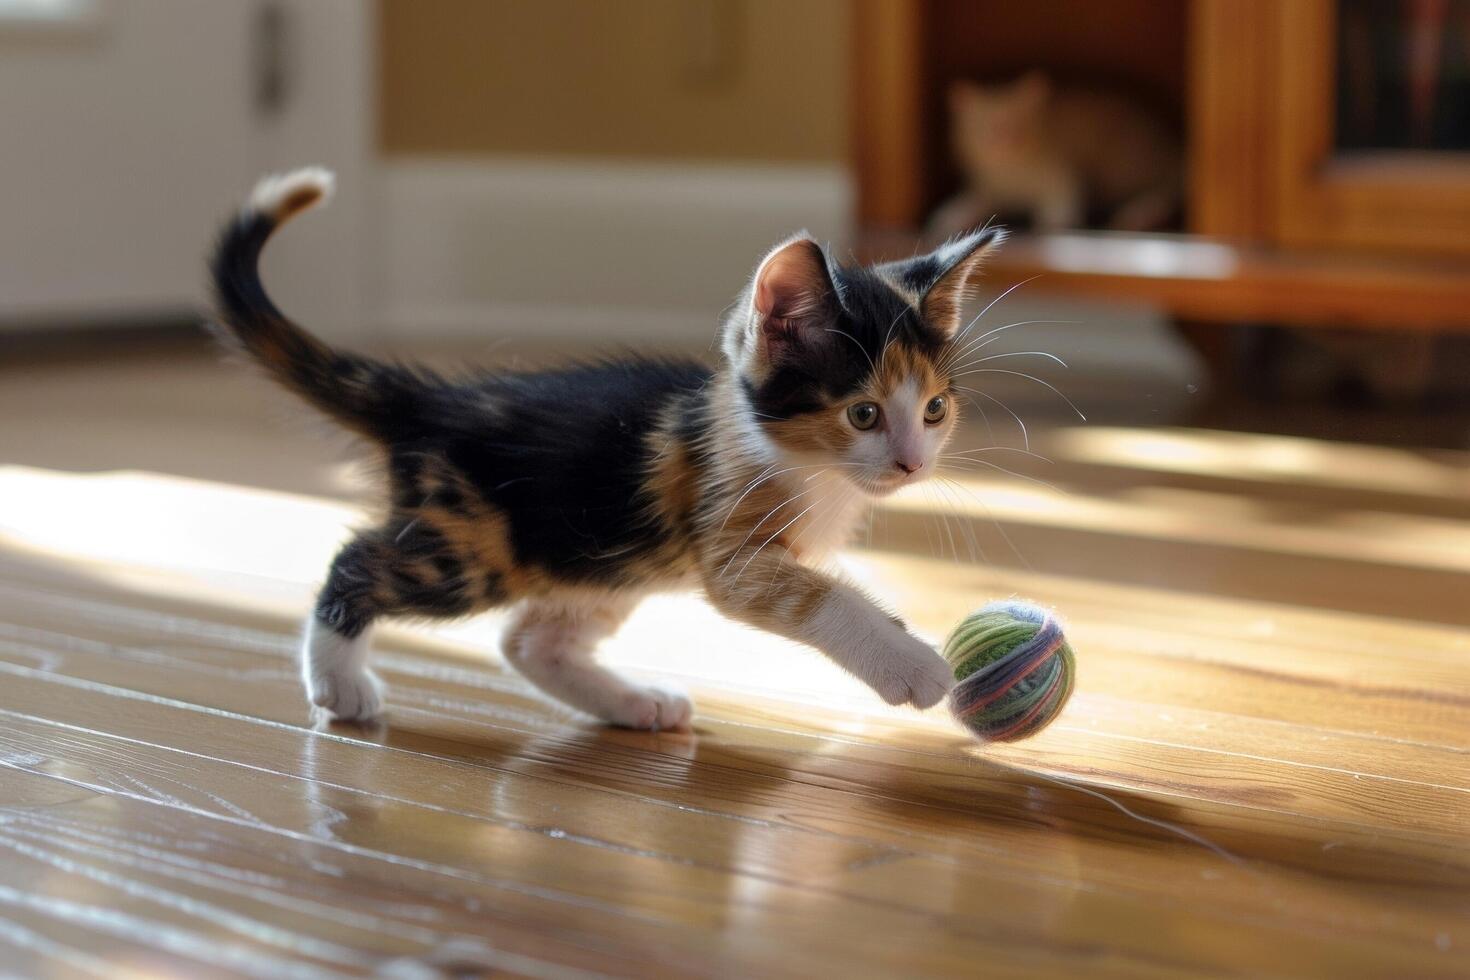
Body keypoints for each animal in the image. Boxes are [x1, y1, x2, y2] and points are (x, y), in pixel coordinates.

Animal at [213, 168, 1005, 731]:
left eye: (934, 411)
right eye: (863, 414)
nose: (913, 463)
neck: (808, 466)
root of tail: (435, 403)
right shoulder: (728, 536)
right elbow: (817, 596)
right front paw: (911, 664)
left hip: (600, 556)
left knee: (529, 641)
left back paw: (632, 704)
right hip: (474, 547)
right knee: (357, 564)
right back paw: (339, 682)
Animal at [934, 71, 1187, 236]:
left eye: (1019, 122)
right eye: (980, 124)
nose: (1000, 137)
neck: (1010, 172)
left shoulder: (1060, 170)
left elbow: (1063, 193)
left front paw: (1057, 218)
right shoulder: (991, 188)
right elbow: (974, 199)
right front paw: (952, 214)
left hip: (1125, 164)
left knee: (1169, 185)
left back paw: (1144, 211)